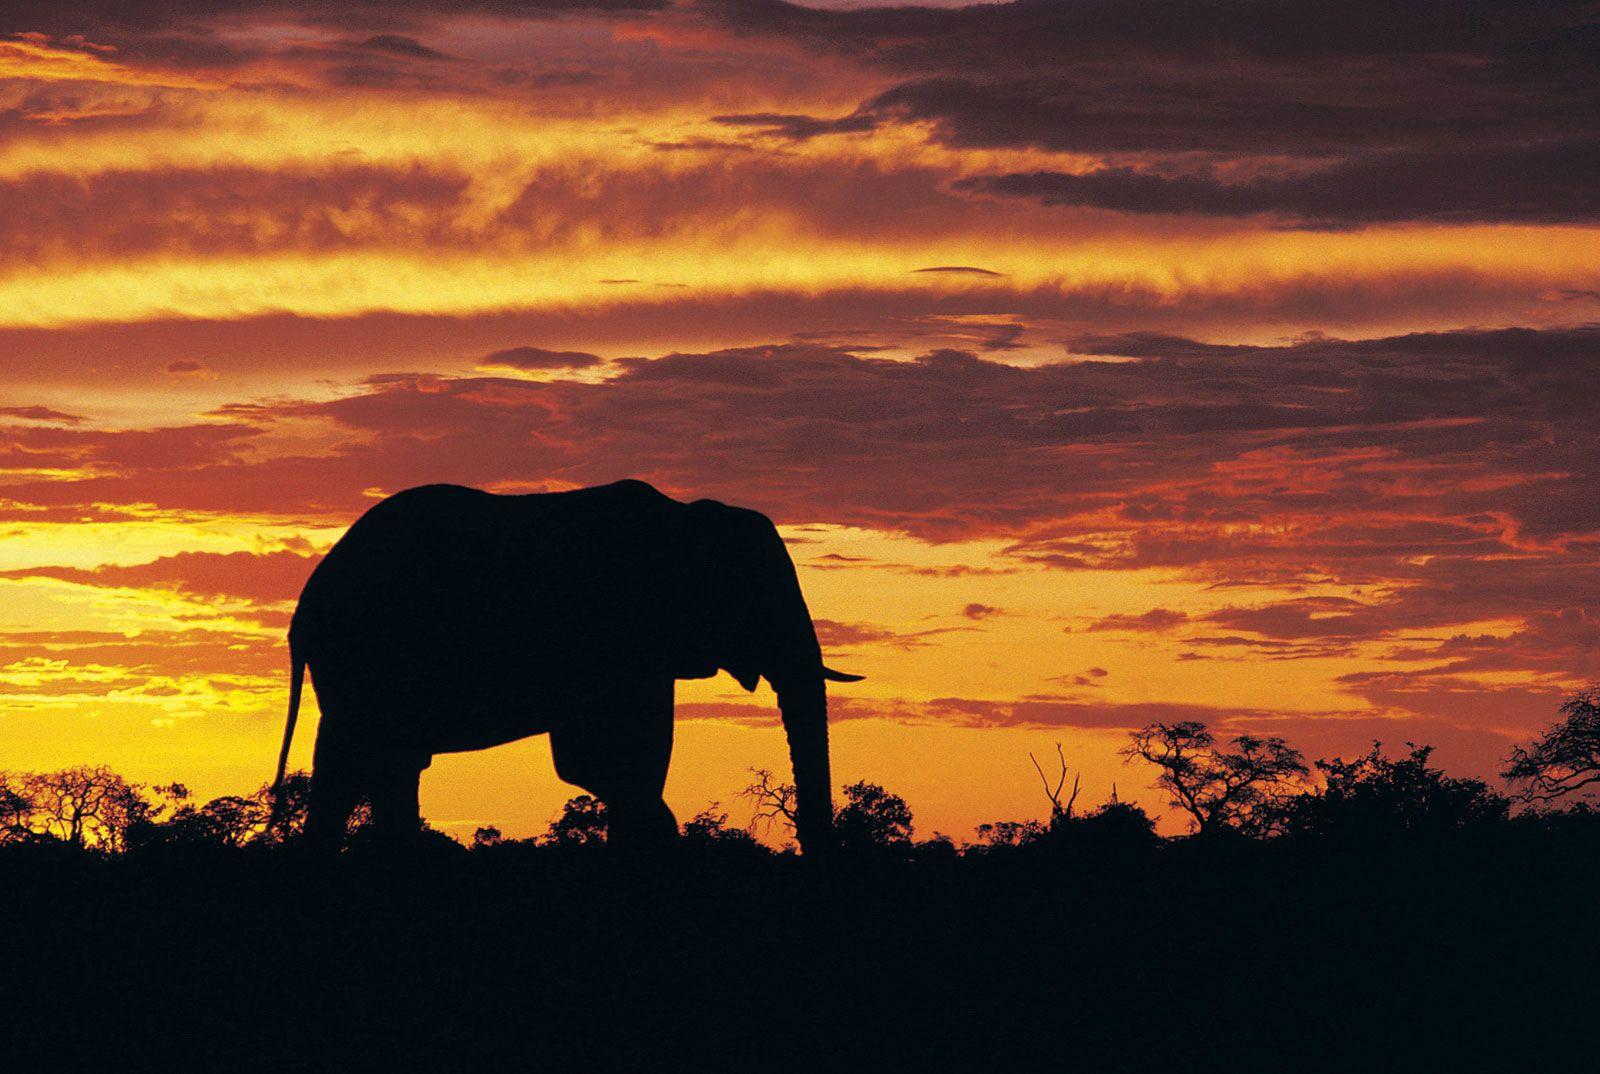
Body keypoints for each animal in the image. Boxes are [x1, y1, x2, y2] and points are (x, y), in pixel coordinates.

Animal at [271, 479, 860, 855]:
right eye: (756, 596)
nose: (810, 845)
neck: (687, 518)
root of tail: (303, 608)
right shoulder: (609, 637)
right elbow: (601, 763)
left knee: (373, 766)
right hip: (367, 655)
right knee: (369, 762)